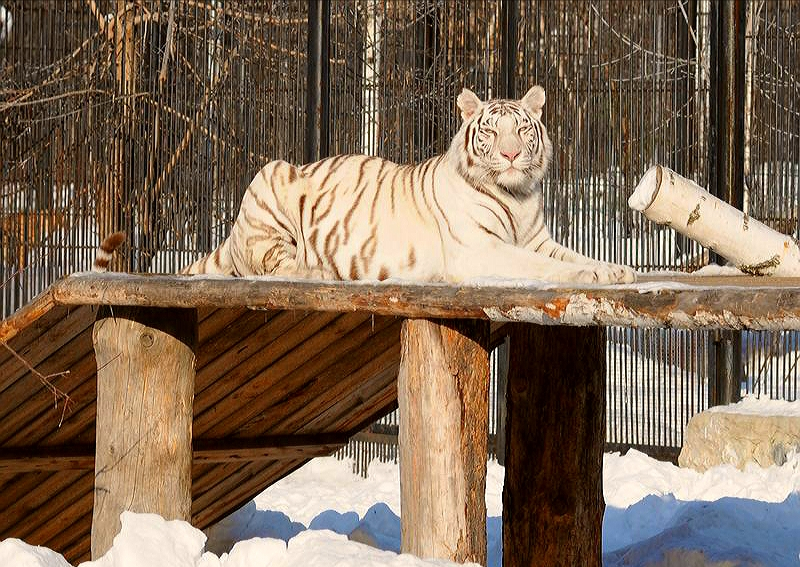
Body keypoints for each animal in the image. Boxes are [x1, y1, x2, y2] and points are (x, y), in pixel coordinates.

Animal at [183, 85, 636, 284]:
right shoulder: (480, 249)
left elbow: (572, 256)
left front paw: (616, 270)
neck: (518, 195)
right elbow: (543, 267)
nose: (510, 155)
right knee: (275, 268)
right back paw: (319, 271)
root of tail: (232, 235)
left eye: (523, 129)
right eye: (491, 130)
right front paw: (590, 277)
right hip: (271, 176)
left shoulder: (537, 239)